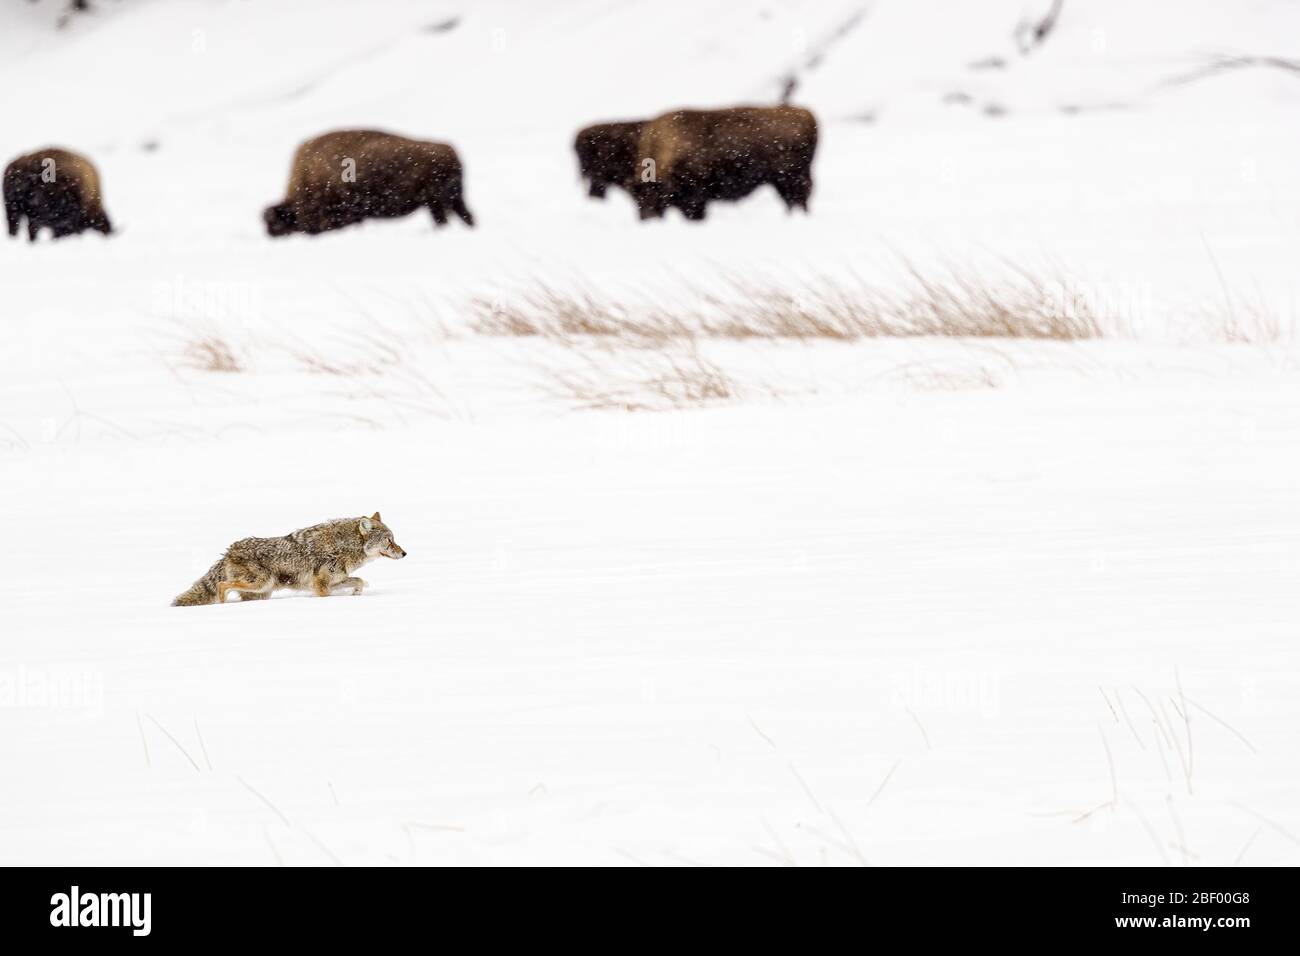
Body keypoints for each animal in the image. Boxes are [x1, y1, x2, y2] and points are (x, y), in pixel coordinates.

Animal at [263, 130, 473, 238]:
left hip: (437, 202)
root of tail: (449, 151)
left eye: (275, 224)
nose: (270, 236)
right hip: (450, 201)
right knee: (466, 217)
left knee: (445, 221)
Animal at [634, 106, 816, 221]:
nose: (646, 217)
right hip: (782, 182)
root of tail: (806, 114)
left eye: (652, 193)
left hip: (792, 179)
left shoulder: (695, 197)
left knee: (797, 200)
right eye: (636, 197)